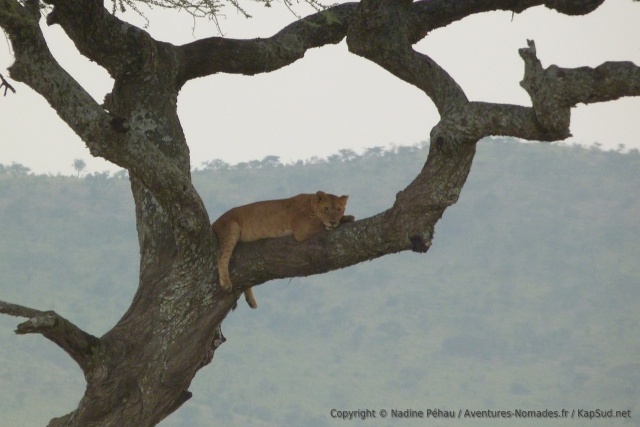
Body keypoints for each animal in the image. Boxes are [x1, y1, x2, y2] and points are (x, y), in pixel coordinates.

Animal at [212, 191, 353, 308]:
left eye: (339, 209)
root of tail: (214, 222)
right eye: (326, 209)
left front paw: (347, 218)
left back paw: (251, 301)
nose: (333, 222)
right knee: (221, 256)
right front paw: (335, 222)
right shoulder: (302, 229)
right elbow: (320, 223)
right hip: (231, 228)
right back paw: (226, 283)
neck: (311, 203)